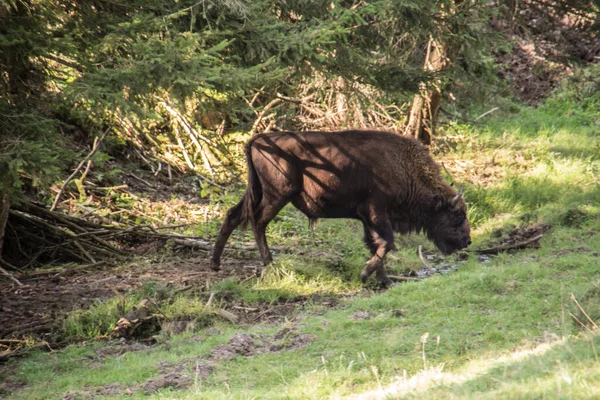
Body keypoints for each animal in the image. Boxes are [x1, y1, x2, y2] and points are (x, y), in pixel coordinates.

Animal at [213, 130, 472, 286]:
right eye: (458, 215)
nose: (467, 241)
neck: (404, 168)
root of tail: (258, 139)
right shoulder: (376, 211)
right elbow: (386, 243)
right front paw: (366, 274)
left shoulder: (369, 218)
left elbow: (377, 245)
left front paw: (384, 280)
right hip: (277, 195)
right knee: (258, 222)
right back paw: (270, 264)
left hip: (257, 192)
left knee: (233, 215)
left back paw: (215, 264)